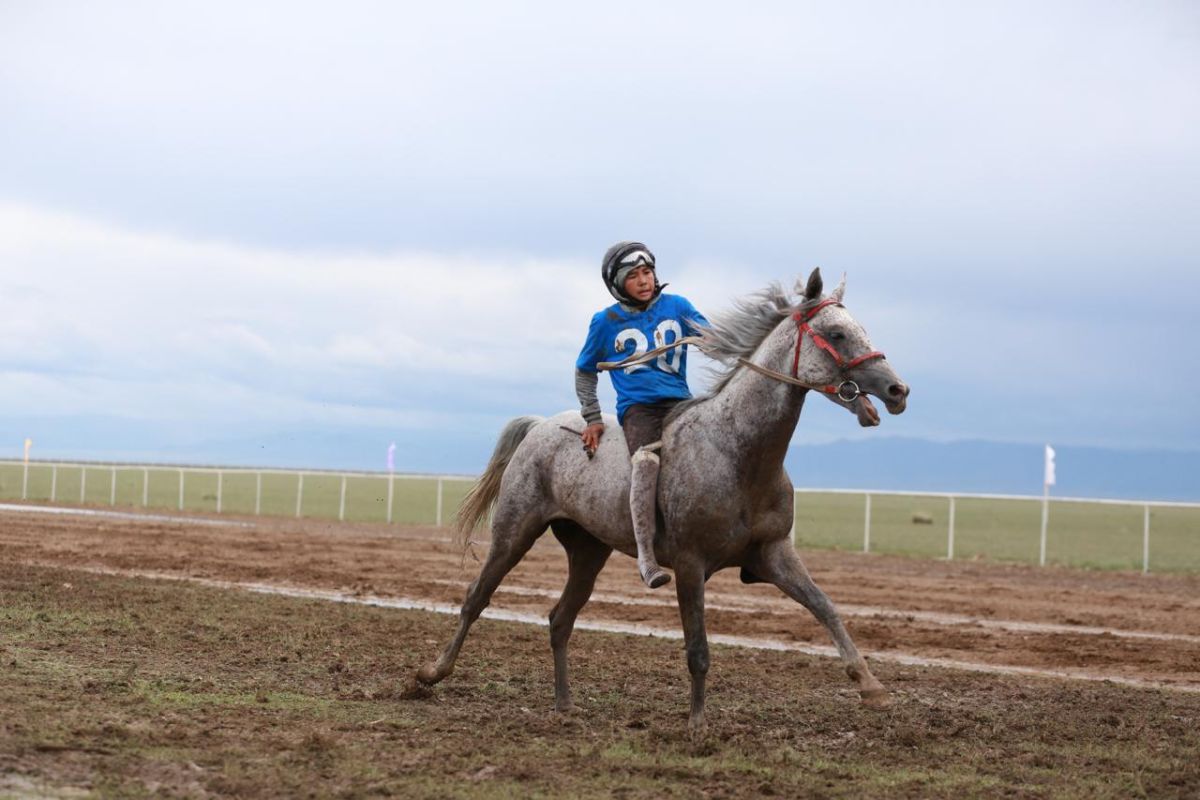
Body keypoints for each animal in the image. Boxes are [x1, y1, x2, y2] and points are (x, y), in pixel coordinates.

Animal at [412, 267, 907, 734]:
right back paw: (432, 672)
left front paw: (871, 686)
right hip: (514, 531)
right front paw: (697, 724)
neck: (736, 451)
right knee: (477, 597)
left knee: (559, 618)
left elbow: (826, 607)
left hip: (588, 550)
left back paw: (564, 703)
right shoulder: (690, 564)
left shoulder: (773, 553)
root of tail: (540, 426)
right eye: (837, 333)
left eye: (860, 327)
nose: (897, 390)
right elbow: (698, 648)